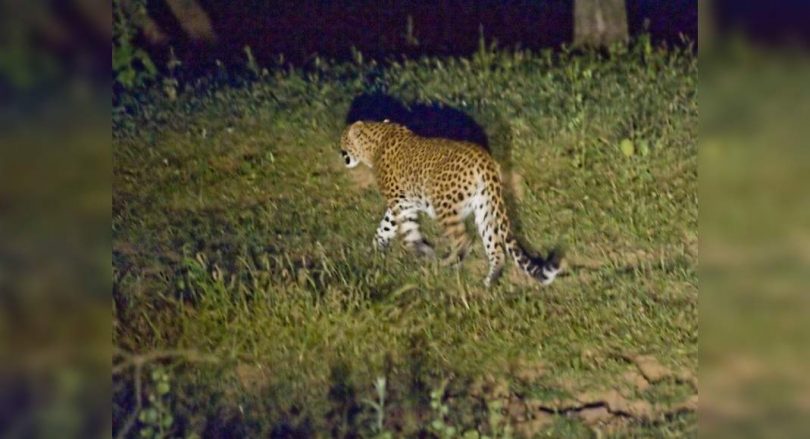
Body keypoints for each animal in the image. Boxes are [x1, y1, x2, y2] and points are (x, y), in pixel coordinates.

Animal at [339, 120, 562, 287]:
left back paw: (449, 263)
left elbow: (405, 230)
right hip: (486, 208)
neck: (376, 139)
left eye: (343, 139)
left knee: (464, 239)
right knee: (496, 247)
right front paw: (375, 250)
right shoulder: (404, 203)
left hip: (444, 204)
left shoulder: (400, 202)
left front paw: (421, 251)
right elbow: (385, 227)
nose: (340, 152)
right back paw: (490, 280)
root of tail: (484, 159)